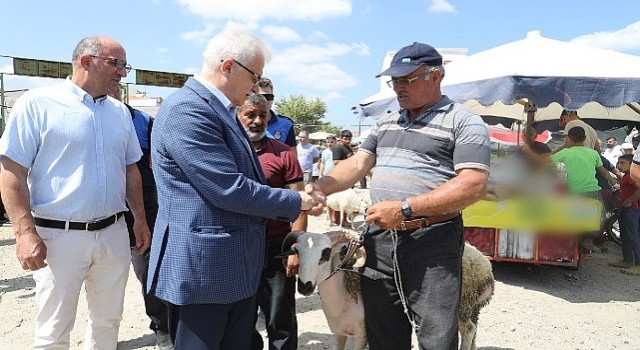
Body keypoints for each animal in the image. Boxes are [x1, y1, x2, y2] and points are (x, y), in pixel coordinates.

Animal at [282, 230, 498, 350]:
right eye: (296, 251)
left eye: (326, 253)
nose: (304, 286)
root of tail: (485, 266)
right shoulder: (339, 333)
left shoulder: (362, 333)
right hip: (472, 308)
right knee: (473, 331)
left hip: (460, 307)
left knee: (468, 330)